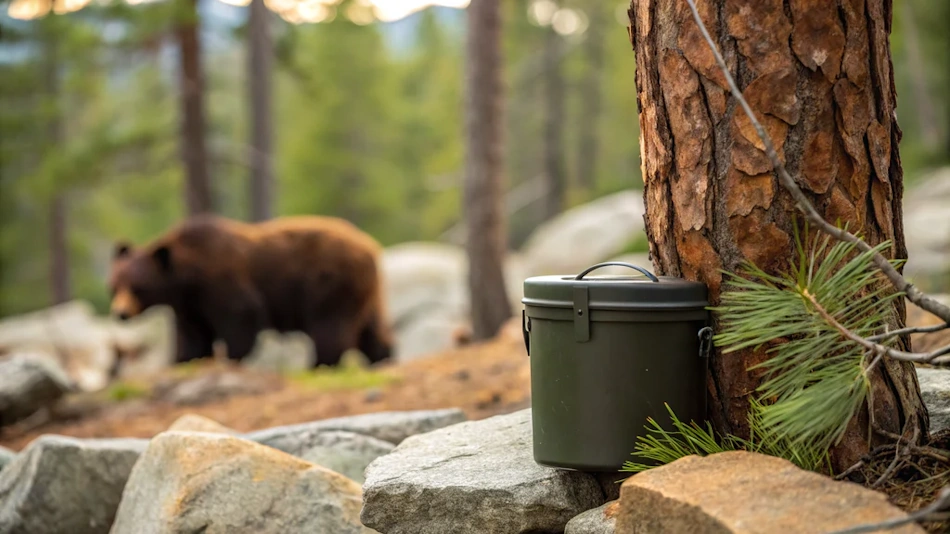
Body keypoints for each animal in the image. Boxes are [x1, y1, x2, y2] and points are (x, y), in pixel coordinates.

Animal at [107, 213, 394, 370]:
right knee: (371, 330)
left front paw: (230, 357)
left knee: (330, 329)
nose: (120, 313)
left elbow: (240, 316)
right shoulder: (189, 306)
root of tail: (371, 246)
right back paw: (381, 357)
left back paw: (318, 364)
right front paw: (189, 359)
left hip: (327, 286)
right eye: (114, 286)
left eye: (137, 287)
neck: (186, 278)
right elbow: (194, 335)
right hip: (365, 295)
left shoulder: (221, 280)